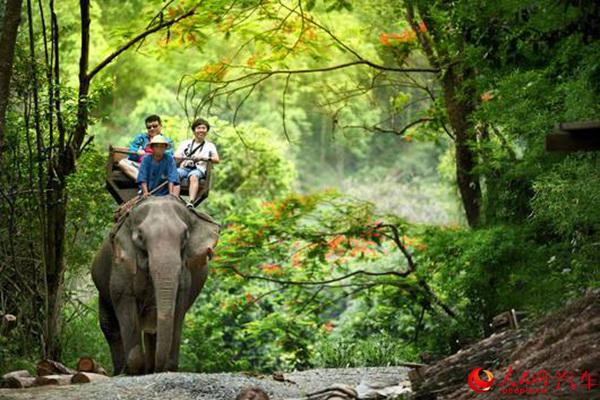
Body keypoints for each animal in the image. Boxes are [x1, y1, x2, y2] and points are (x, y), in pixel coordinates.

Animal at [91, 197, 218, 376]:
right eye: (140, 236)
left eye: (185, 236)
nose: (158, 368)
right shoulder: (122, 266)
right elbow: (125, 303)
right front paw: (134, 370)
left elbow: (178, 307)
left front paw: (167, 368)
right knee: (110, 325)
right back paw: (122, 371)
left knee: (152, 330)